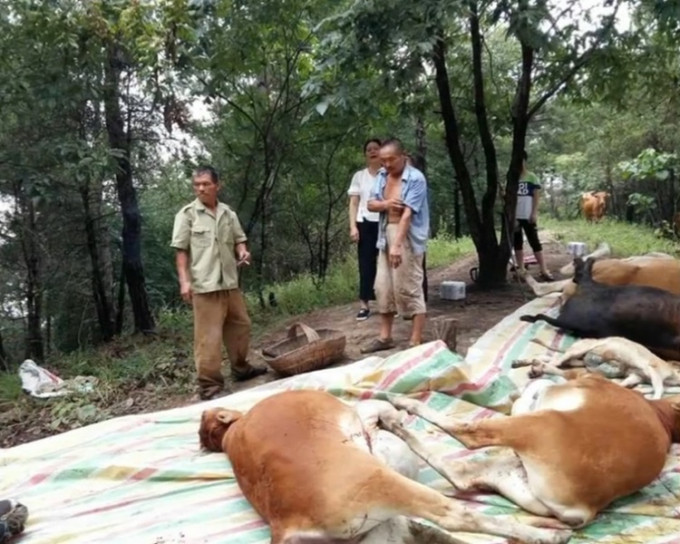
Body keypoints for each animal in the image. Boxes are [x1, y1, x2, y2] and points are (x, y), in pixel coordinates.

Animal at [199, 388, 572, 544]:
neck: (234, 430)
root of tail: (284, 524)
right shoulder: (359, 412)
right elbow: (380, 411)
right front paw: (395, 415)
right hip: (386, 485)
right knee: (458, 512)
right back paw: (548, 535)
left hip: (379, 528)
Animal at [382, 376, 680, 528]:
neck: (659, 415)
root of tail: (588, 509)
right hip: (511, 474)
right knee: (461, 474)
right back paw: (393, 421)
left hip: (534, 426)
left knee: (469, 434)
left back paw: (400, 404)